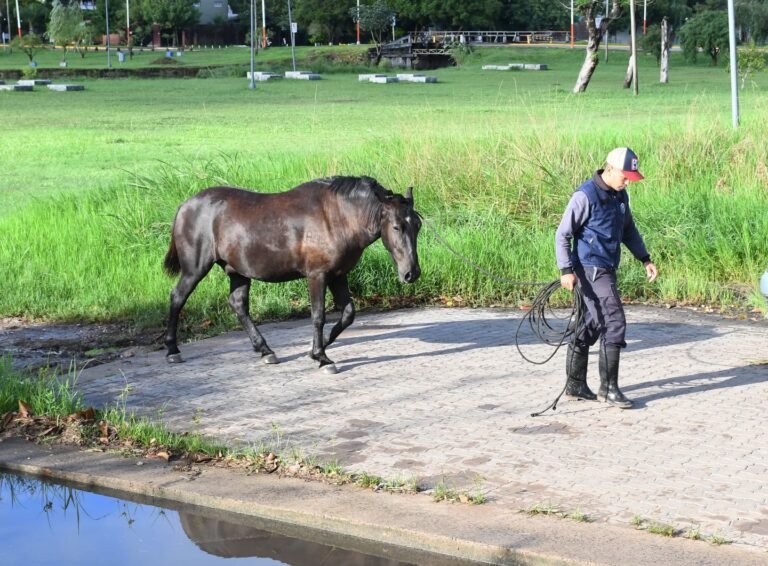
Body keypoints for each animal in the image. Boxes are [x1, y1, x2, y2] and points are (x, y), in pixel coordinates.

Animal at [162, 175, 422, 373]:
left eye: (417, 225)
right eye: (397, 226)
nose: (412, 273)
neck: (337, 216)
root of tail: (186, 205)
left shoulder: (338, 275)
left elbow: (348, 314)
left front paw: (315, 349)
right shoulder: (317, 275)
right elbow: (318, 316)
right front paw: (322, 358)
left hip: (237, 271)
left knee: (238, 304)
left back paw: (265, 350)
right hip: (195, 268)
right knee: (177, 298)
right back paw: (172, 350)